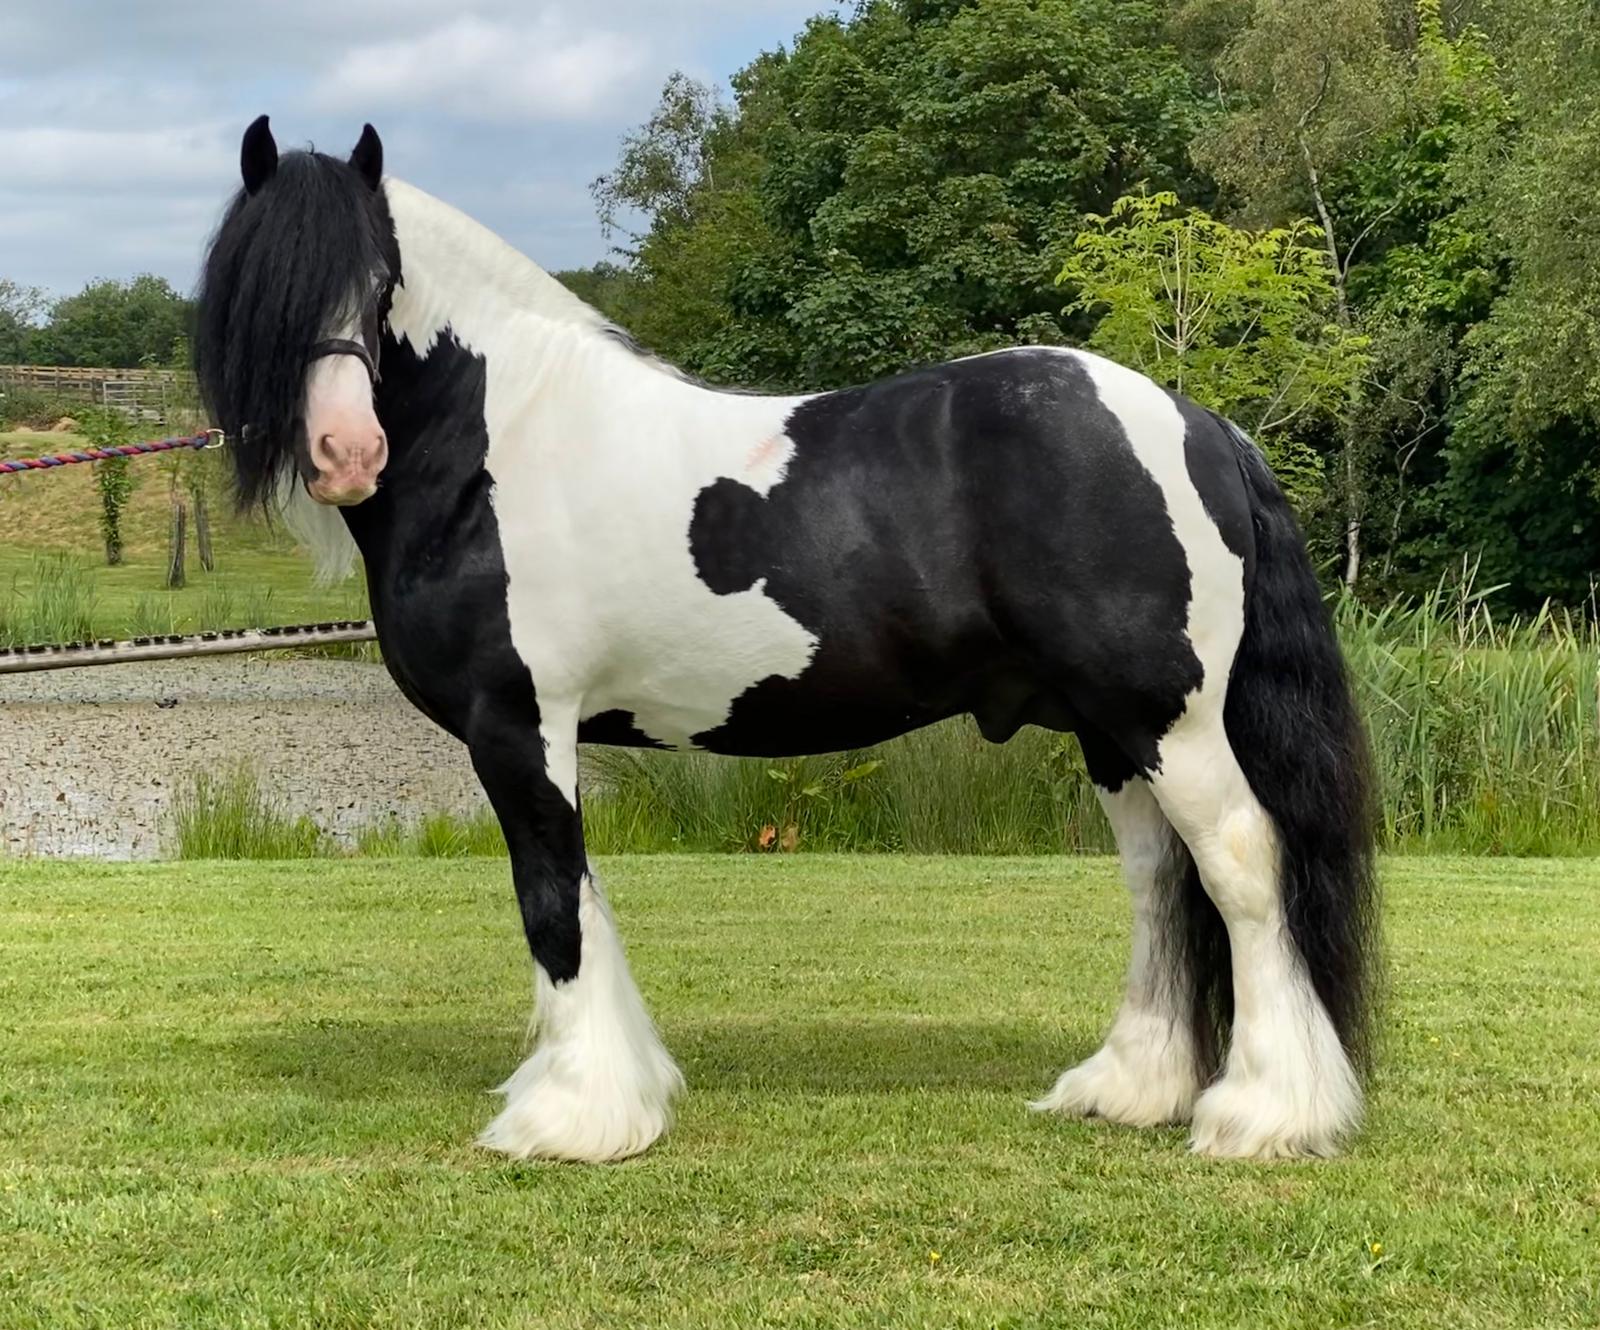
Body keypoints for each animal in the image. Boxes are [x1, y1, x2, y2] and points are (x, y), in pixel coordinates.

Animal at [196, 120, 1376, 1171]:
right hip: (1110, 728)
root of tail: (1198, 424)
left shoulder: (518, 725)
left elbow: (553, 900)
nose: (346, 452)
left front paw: (572, 1116)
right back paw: (1129, 1088)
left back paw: (1264, 1113)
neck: (501, 446)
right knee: (1156, 878)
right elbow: (582, 901)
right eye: (256, 288)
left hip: (1165, 718)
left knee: (1240, 865)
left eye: (381, 277)